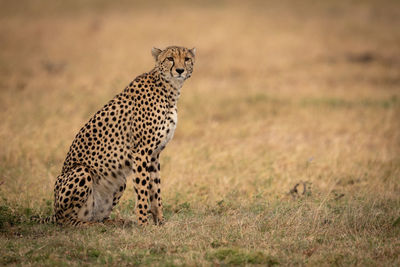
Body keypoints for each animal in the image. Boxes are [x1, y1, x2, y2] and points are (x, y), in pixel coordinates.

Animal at [36, 46, 195, 226]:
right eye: (170, 58)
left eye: (187, 59)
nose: (180, 70)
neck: (169, 89)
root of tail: (54, 212)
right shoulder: (141, 152)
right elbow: (142, 189)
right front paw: (144, 223)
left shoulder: (154, 154)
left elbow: (156, 190)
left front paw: (160, 222)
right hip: (81, 172)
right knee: (67, 220)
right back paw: (89, 225)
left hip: (118, 181)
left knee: (97, 216)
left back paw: (112, 222)